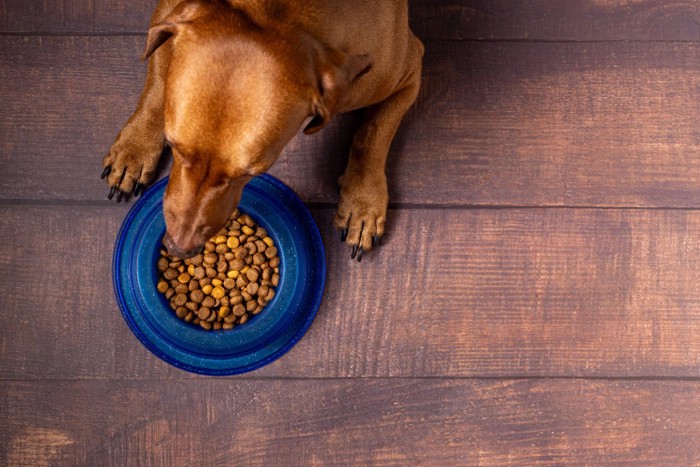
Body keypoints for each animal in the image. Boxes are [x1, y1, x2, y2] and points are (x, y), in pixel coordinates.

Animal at [101, 0, 424, 264]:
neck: (279, 13)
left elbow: (374, 133)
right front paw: (136, 147)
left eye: (250, 173)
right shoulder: (171, 12)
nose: (179, 248)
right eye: (173, 144)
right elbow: (158, 72)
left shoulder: (410, 71)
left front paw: (362, 202)